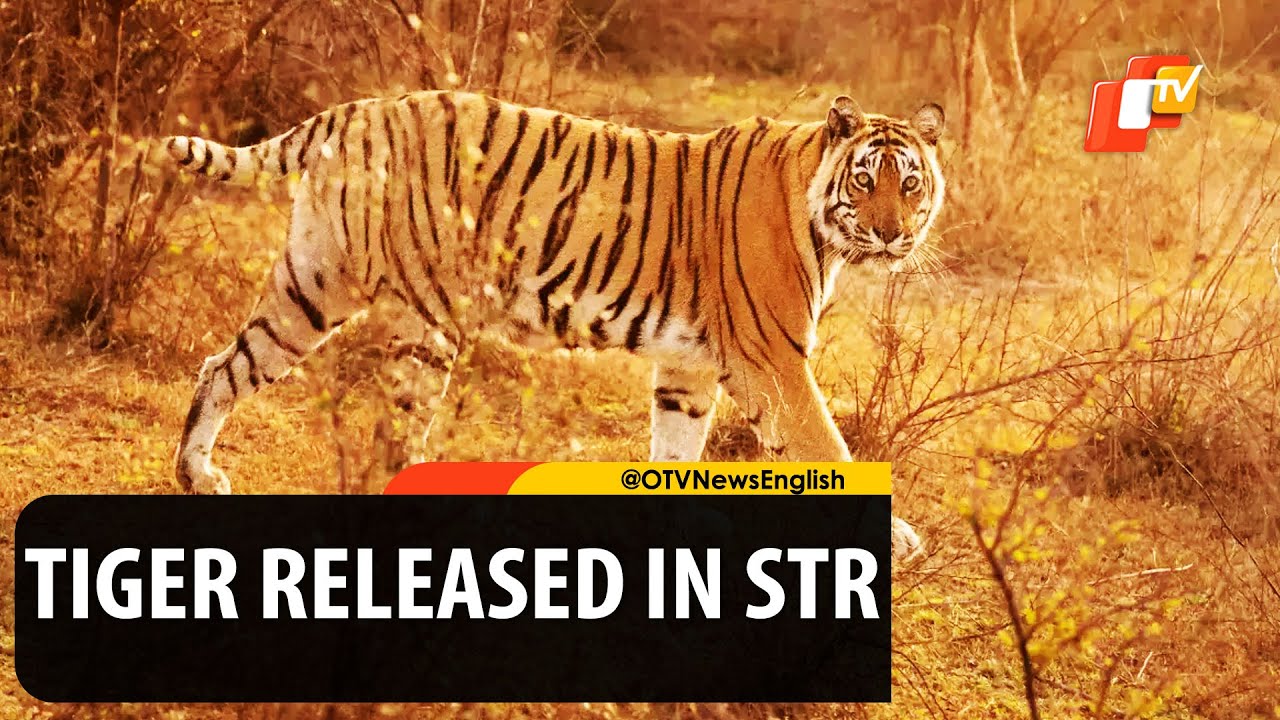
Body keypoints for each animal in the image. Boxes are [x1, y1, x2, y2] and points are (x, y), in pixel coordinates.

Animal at [162, 90, 945, 562]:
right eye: (866, 180)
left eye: (911, 184)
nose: (894, 234)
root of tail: (352, 111)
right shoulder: (773, 358)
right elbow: (829, 445)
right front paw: (899, 537)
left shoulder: (691, 366)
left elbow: (676, 448)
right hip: (412, 314)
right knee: (380, 427)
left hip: (313, 284)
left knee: (224, 367)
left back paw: (196, 475)